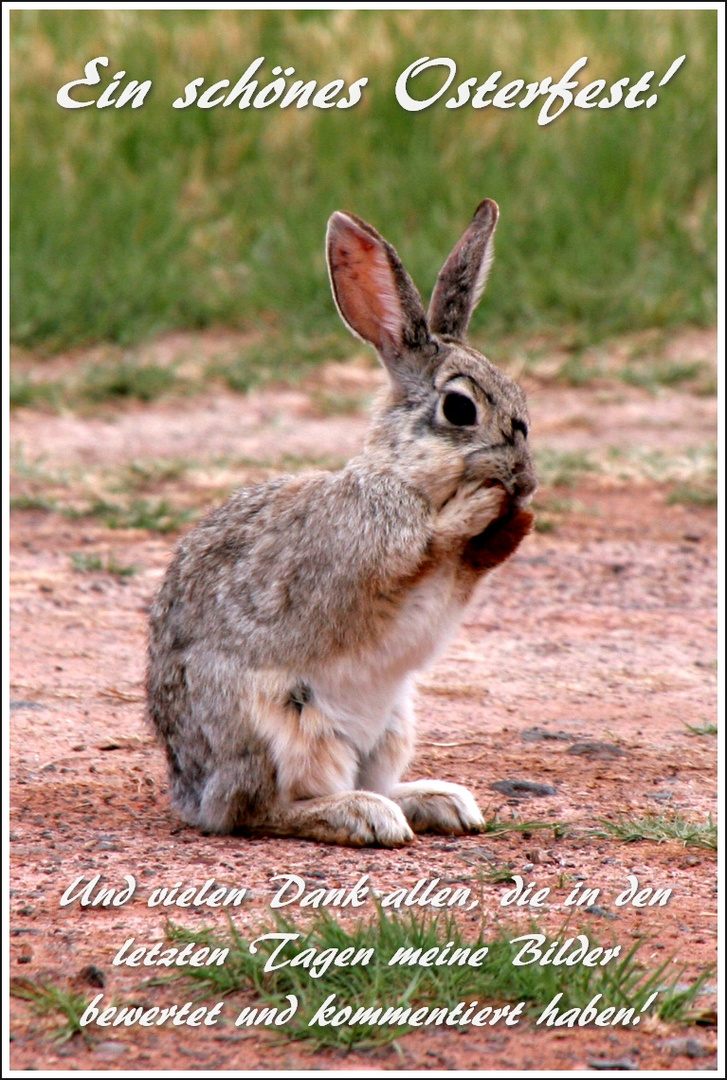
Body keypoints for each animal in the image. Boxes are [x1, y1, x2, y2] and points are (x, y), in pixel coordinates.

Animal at [146, 198, 533, 846]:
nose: (525, 481)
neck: (405, 478)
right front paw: (481, 508)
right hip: (277, 724)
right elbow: (424, 546)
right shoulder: (370, 552)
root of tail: (189, 792)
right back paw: (362, 815)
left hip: (393, 724)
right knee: (258, 810)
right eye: (460, 408)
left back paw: (438, 801)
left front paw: (516, 522)